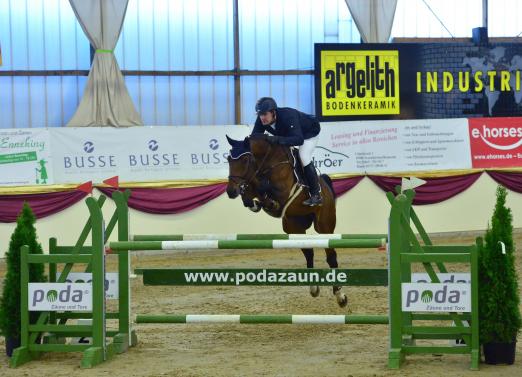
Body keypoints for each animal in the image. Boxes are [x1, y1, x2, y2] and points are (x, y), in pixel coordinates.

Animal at [223, 134, 346, 306]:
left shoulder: (283, 191)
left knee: (331, 255)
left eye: (245, 160)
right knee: (309, 252)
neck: (266, 162)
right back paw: (314, 288)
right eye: (229, 159)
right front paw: (256, 203)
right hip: (293, 227)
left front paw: (268, 201)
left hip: (324, 225)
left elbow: (263, 187)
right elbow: (251, 192)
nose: (231, 191)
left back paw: (340, 295)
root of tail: (326, 187)